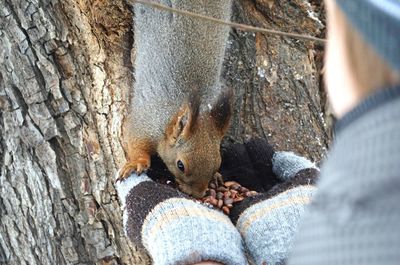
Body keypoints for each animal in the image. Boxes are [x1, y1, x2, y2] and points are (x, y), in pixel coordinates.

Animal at [115, 0, 233, 197]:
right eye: (180, 165)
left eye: (218, 163)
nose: (197, 195)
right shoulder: (145, 120)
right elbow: (134, 140)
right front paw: (137, 162)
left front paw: (217, 177)